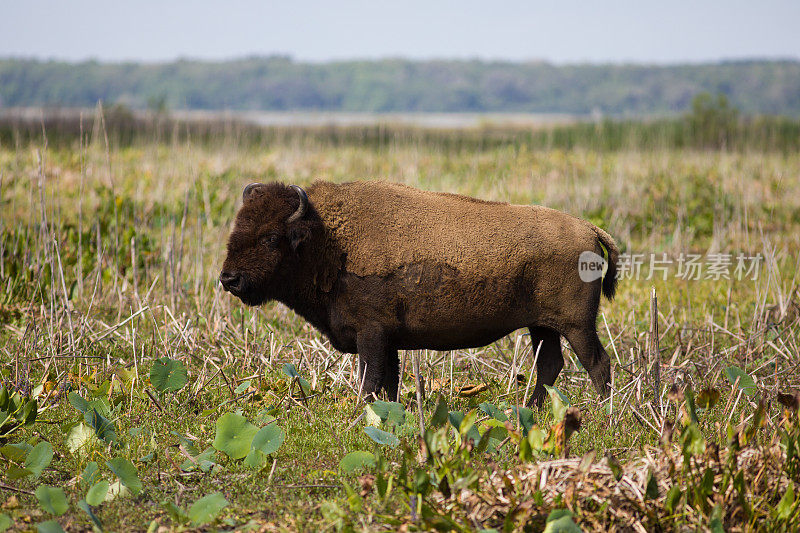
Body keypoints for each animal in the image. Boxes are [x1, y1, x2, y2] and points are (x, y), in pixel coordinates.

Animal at [222, 181, 620, 406]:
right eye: (237, 226)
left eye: (272, 238)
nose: (229, 279)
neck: (326, 239)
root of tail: (587, 227)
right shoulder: (388, 340)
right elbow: (388, 382)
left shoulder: (371, 333)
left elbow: (370, 380)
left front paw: (360, 414)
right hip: (542, 327)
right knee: (551, 365)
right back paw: (527, 412)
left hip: (577, 325)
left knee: (597, 363)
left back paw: (605, 414)